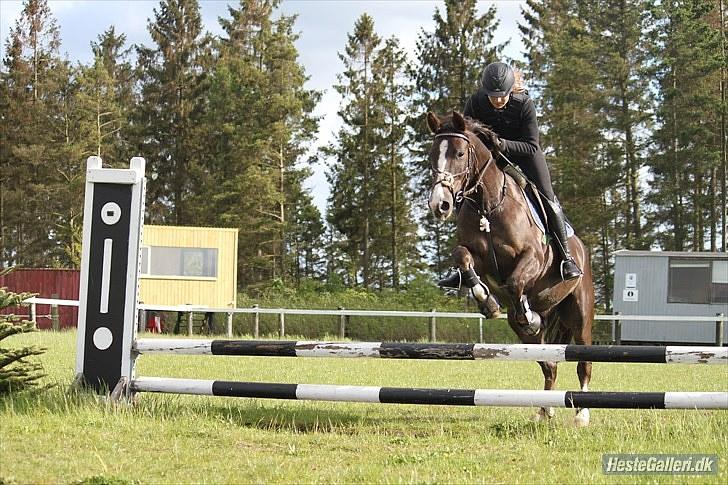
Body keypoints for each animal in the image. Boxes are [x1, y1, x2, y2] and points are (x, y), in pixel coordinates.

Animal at [430, 111, 596, 426]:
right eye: (432, 154)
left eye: (459, 153)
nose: (439, 204)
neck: (489, 205)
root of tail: (582, 249)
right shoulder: (475, 255)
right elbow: (462, 257)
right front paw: (486, 301)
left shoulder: (532, 257)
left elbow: (515, 282)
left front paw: (526, 314)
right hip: (533, 332)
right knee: (549, 364)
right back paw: (544, 410)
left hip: (580, 314)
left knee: (583, 362)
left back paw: (581, 414)